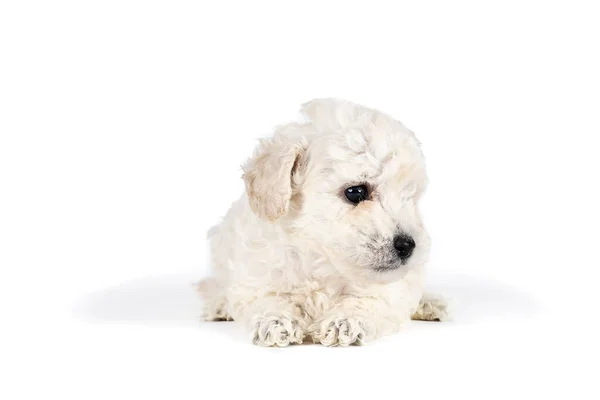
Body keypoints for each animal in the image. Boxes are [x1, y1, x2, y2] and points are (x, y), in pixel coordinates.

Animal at [197, 98, 450, 346]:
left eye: (410, 198)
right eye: (355, 192)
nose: (408, 246)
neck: (322, 261)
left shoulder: (391, 290)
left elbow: (369, 300)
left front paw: (345, 321)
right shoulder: (255, 274)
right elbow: (265, 298)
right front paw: (276, 320)